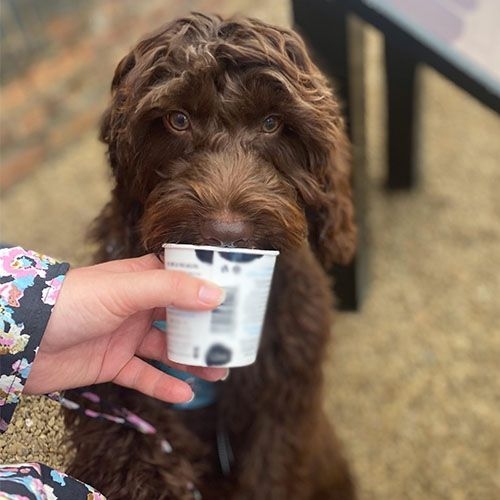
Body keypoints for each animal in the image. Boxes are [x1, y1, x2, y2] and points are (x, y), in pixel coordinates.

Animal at [64, 11, 358, 500]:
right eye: (178, 119)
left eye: (272, 123)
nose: (227, 236)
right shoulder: (109, 397)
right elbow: (127, 445)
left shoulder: (286, 396)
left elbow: (273, 467)